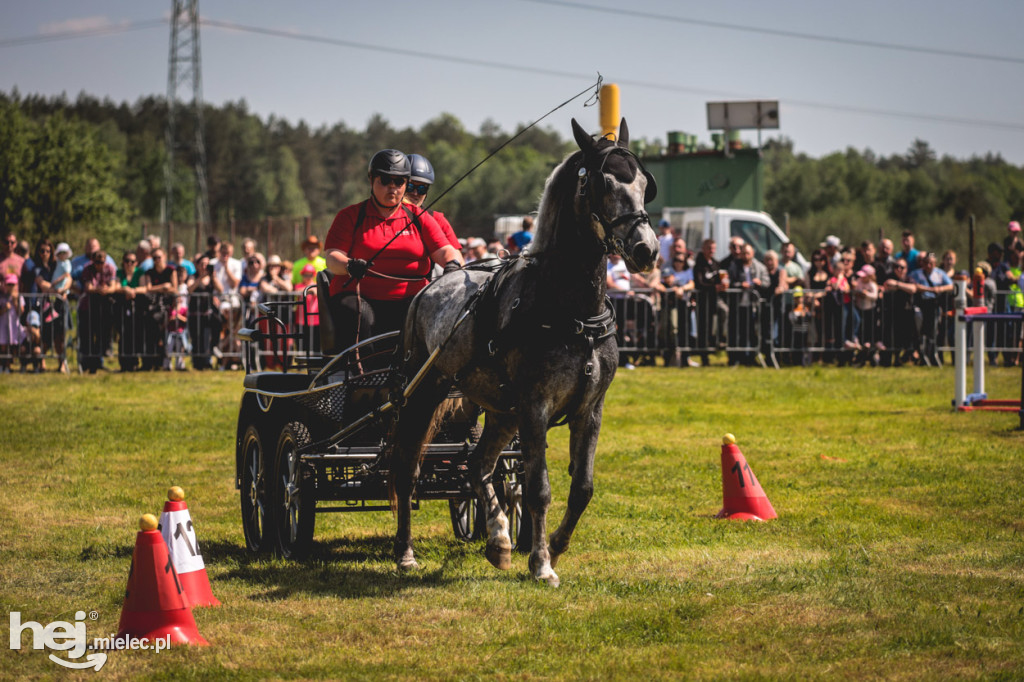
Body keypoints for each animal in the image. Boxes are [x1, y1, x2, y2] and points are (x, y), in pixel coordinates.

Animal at [387, 118, 659, 585]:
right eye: (603, 183)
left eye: (643, 182)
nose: (647, 249)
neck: (573, 312)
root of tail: (430, 286)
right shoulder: (535, 405)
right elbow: (538, 489)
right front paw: (541, 564)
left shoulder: (591, 408)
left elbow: (582, 487)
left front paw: (554, 545)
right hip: (426, 392)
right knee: (408, 466)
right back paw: (405, 551)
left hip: (501, 410)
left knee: (479, 464)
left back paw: (498, 540)